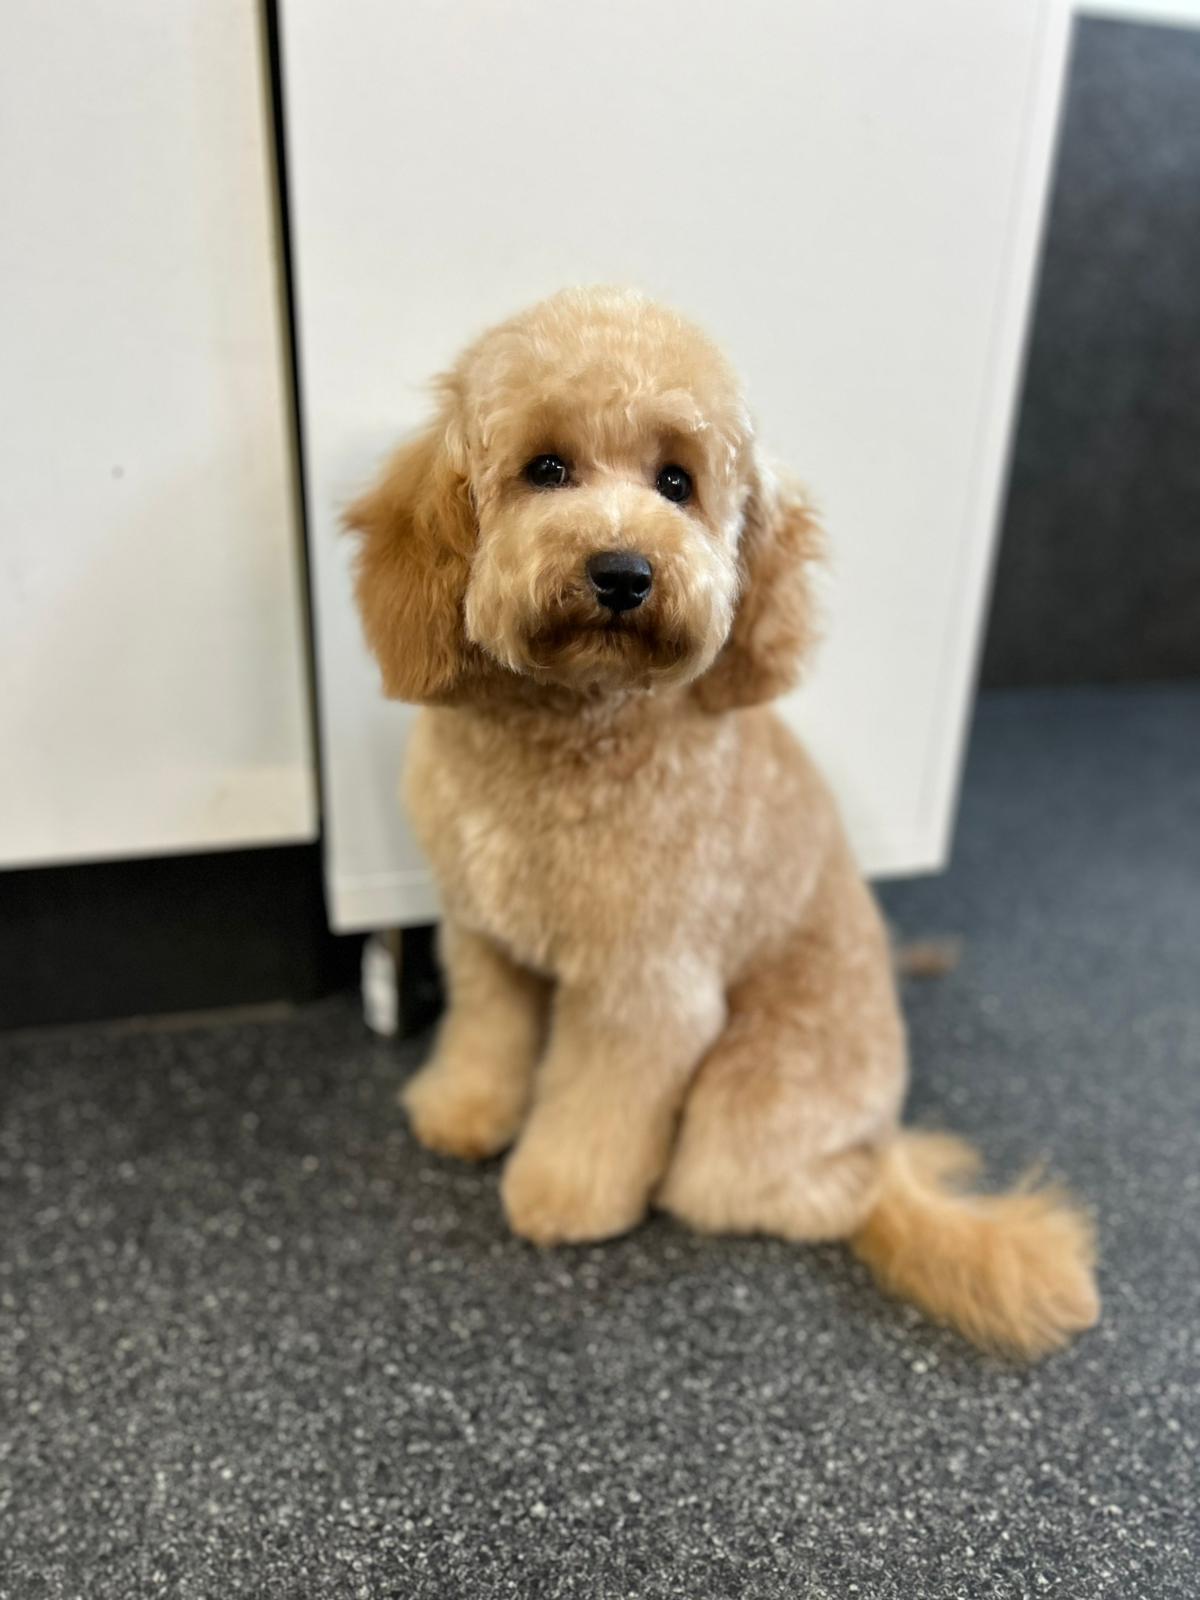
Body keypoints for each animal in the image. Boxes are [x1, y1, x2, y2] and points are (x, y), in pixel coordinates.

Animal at [348, 286, 1099, 1357]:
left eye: (677, 482)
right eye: (546, 468)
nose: (624, 571)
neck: (563, 737)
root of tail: (878, 1142)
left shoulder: (645, 989)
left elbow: (599, 1107)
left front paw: (561, 1195)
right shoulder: (483, 935)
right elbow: (488, 1034)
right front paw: (462, 1112)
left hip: (750, 1104)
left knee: (803, 1194)